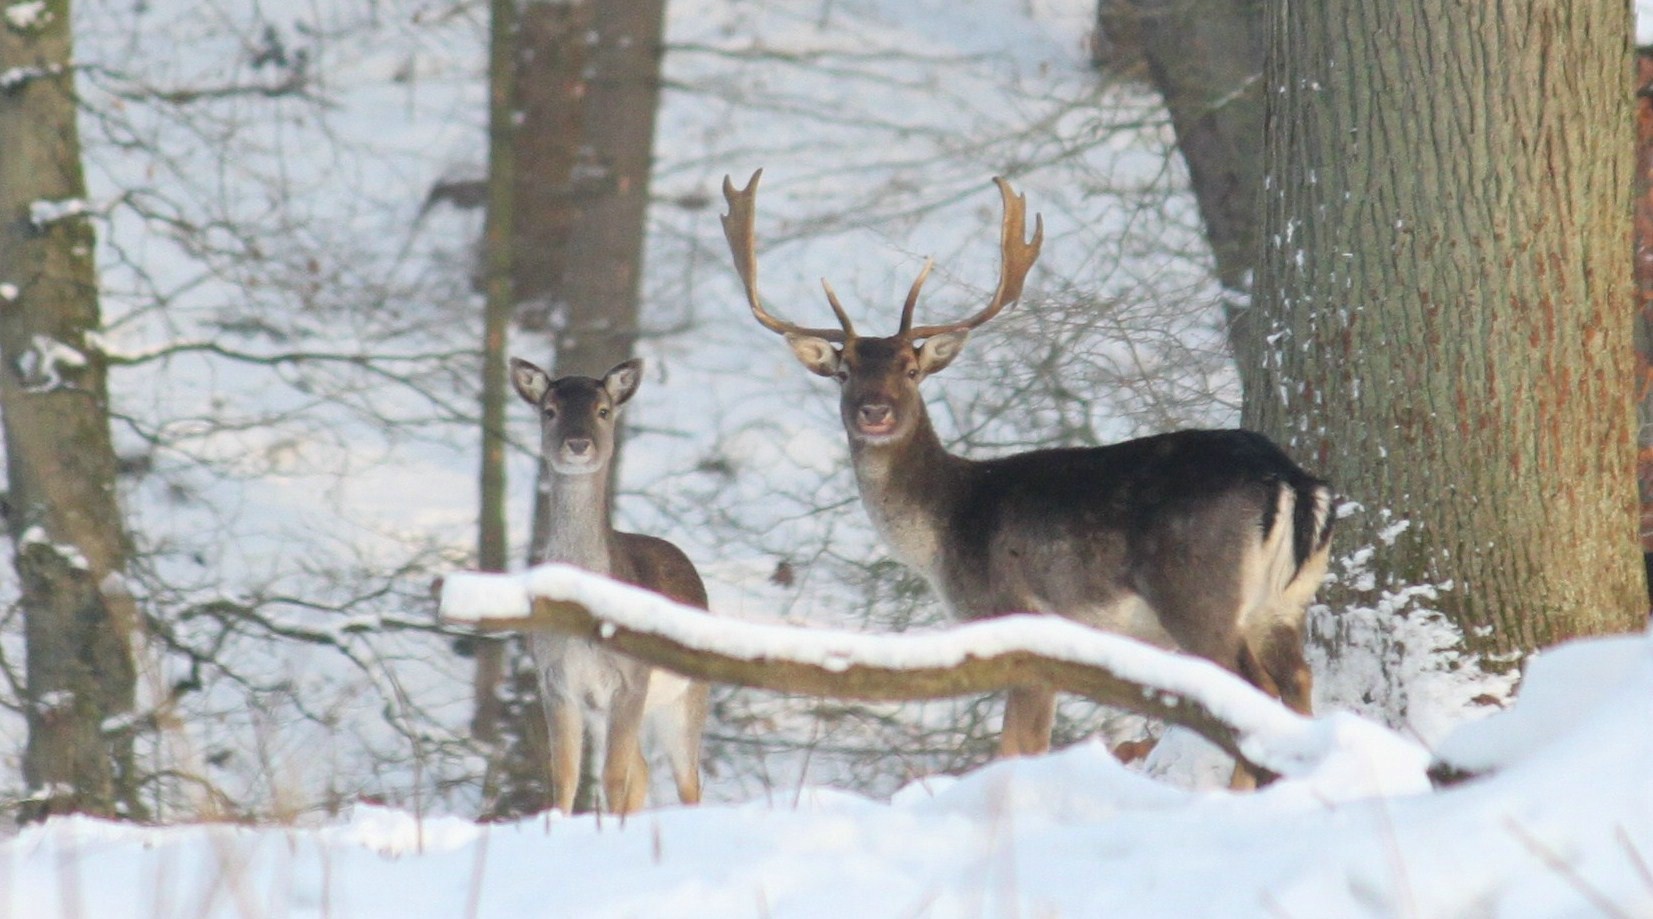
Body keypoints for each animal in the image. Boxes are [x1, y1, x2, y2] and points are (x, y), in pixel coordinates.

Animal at [505, 355, 707, 816]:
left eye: (603, 410)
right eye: (549, 410)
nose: (578, 444)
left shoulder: (632, 679)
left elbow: (613, 777)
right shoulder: (555, 680)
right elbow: (565, 775)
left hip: (687, 696)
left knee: (689, 781)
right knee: (645, 771)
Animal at [720, 168, 1329, 763]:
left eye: (911, 370)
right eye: (844, 371)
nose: (875, 411)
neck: (943, 530)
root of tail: (1290, 479)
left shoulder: (1020, 622)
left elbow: (1018, 747)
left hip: (1200, 594)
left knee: (1257, 690)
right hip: (1284, 605)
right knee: (1299, 681)